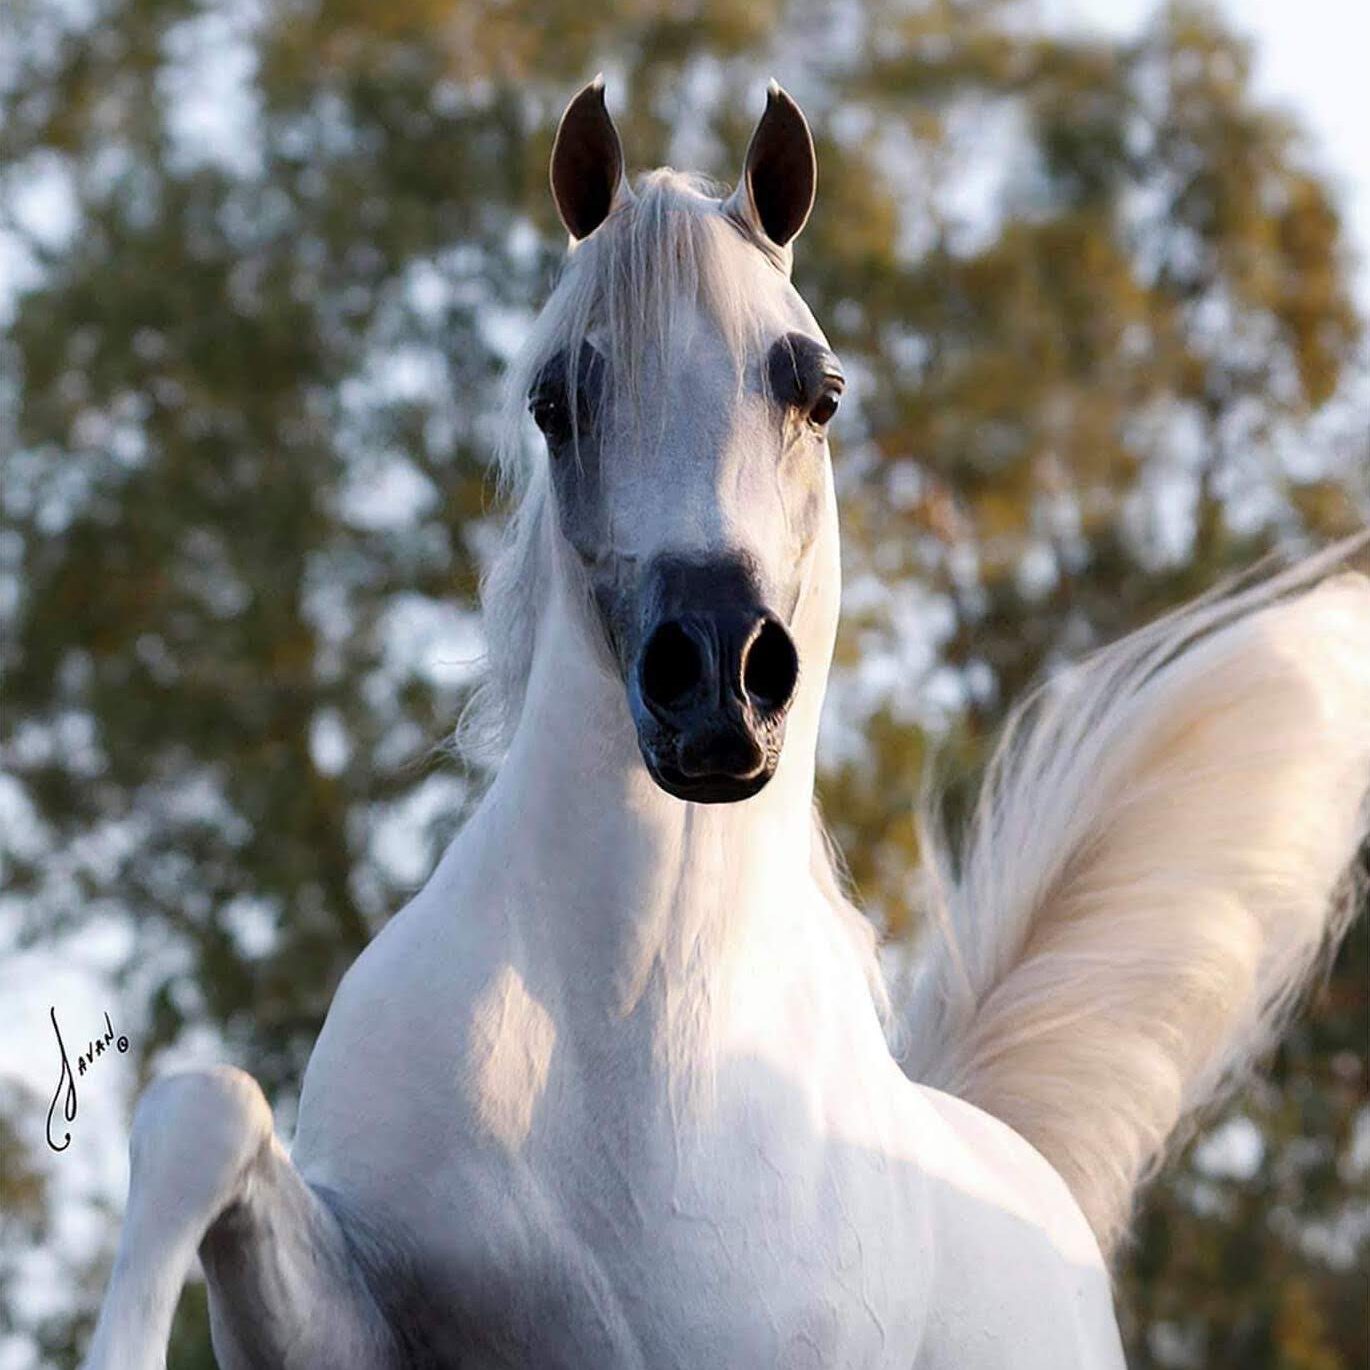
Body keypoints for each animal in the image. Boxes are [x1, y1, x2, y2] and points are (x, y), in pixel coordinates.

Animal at [82, 79, 1370, 1369]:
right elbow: (206, 1108)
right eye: (555, 402)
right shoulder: (360, 1321)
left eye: (819, 391)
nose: (713, 680)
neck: (633, 1053)